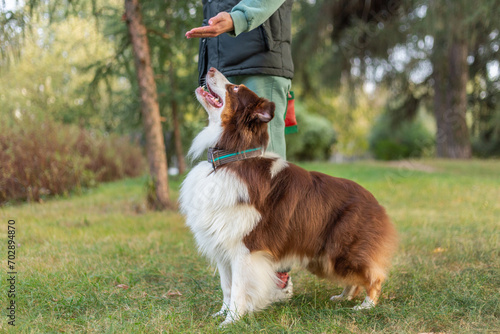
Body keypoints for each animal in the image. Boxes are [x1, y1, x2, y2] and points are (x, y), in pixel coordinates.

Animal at [180, 68, 398, 326]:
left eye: (234, 88)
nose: (210, 69)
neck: (230, 159)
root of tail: (374, 201)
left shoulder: (245, 247)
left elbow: (239, 288)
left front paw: (231, 321)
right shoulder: (223, 246)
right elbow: (227, 286)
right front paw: (222, 314)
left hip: (342, 251)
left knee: (374, 276)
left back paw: (366, 306)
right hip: (325, 258)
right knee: (354, 279)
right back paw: (344, 297)